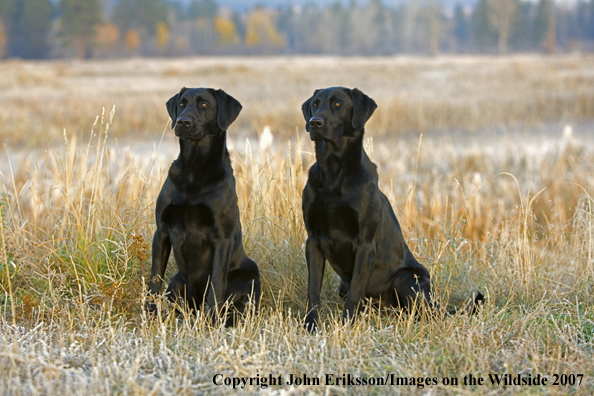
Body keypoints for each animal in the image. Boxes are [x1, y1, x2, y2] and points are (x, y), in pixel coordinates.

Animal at [146, 86, 260, 324]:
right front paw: (149, 315)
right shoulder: (161, 232)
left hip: (251, 275)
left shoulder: (222, 238)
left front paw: (210, 323)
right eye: (181, 104)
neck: (194, 170)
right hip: (177, 282)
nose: (183, 121)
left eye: (205, 105)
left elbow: (215, 285)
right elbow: (154, 280)